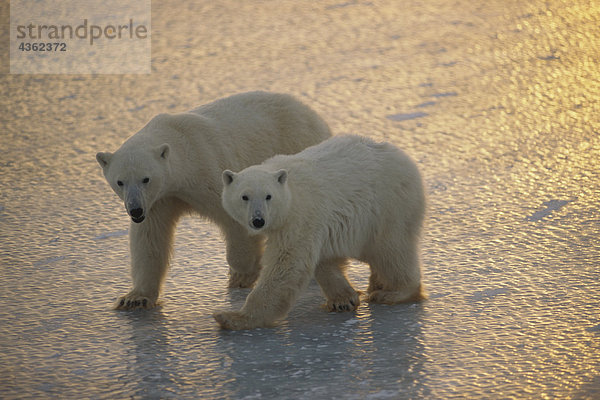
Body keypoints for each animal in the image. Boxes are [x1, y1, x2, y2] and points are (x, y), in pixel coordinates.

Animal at [98, 91, 332, 310]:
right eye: (120, 181)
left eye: (146, 179)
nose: (135, 210)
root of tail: (311, 112)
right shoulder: (159, 200)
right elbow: (149, 239)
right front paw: (134, 298)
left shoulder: (207, 168)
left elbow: (235, 218)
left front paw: (243, 274)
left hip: (296, 144)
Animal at [217, 136, 426, 330]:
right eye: (244, 196)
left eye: (269, 196)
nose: (258, 220)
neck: (290, 191)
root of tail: (404, 158)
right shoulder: (316, 224)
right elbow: (323, 260)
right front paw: (343, 299)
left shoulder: (300, 217)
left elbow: (286, 264)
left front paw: (232, 317)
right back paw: (377, 284)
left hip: (388, 206)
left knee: (392, 251)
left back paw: (392, 292)